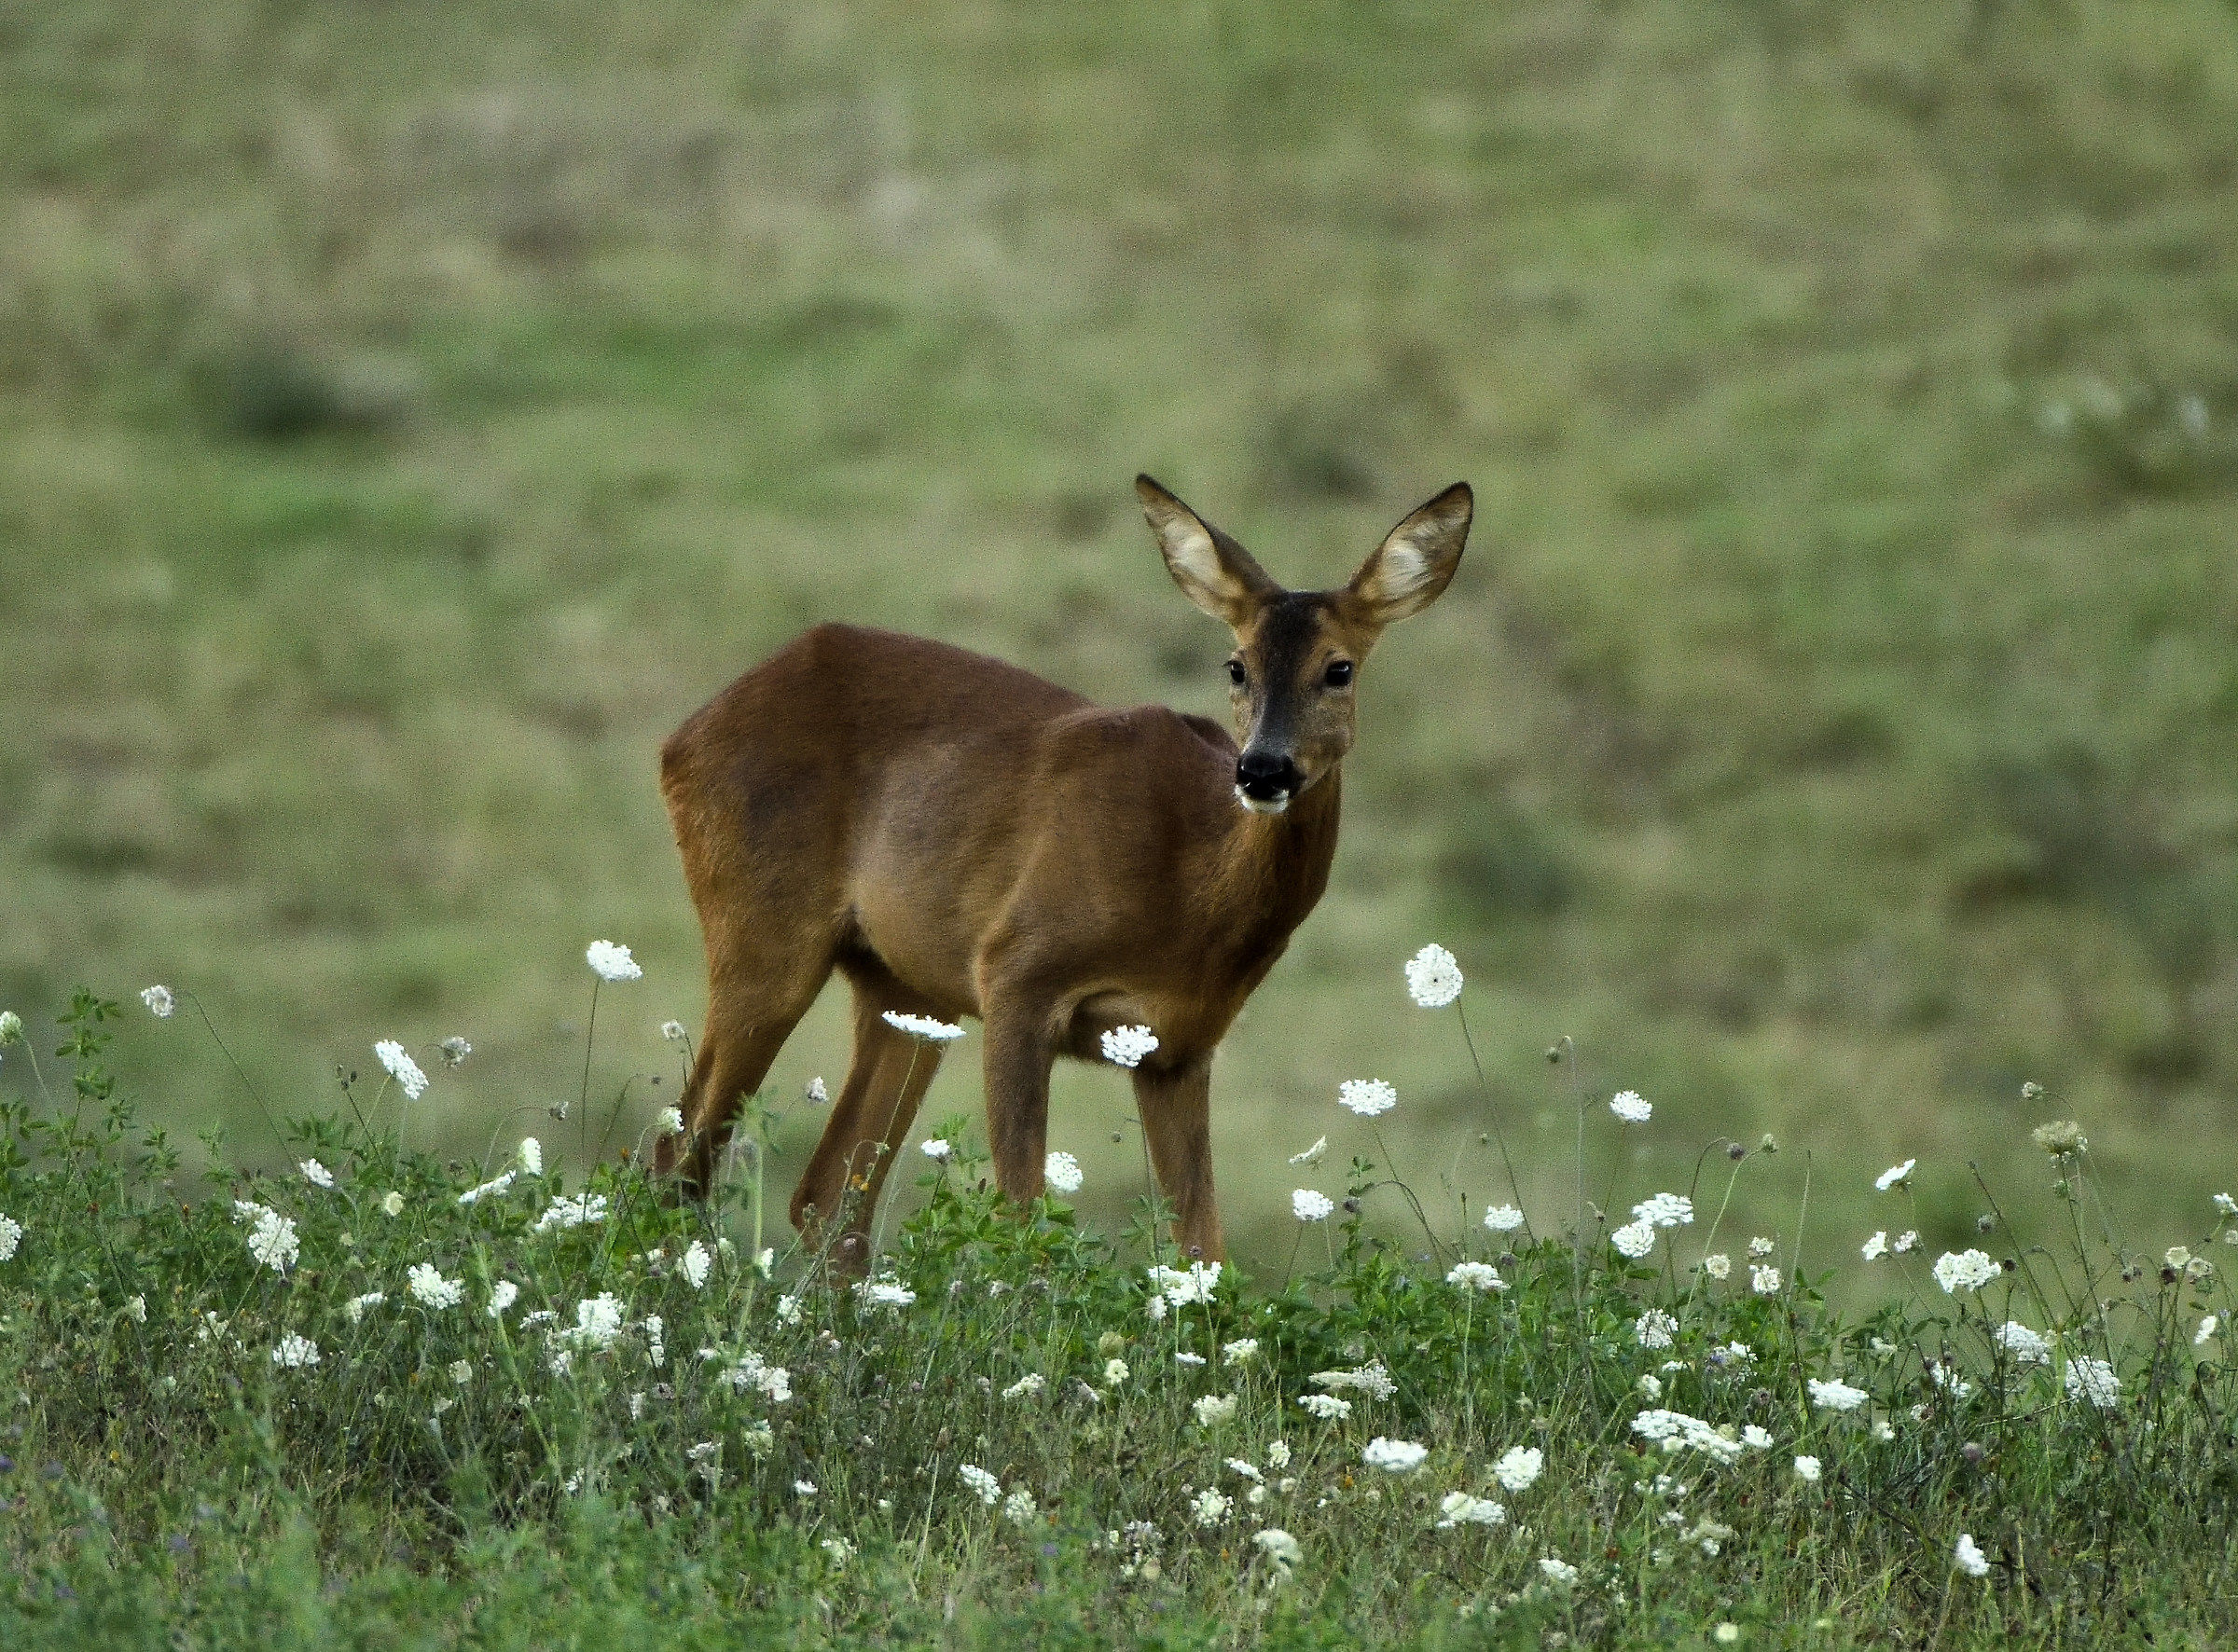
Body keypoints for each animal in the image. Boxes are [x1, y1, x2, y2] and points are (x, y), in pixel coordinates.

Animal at [653, 475, 1471, 1270]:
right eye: (1236, 665)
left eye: (1339, 669)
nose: (1263, 769)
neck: (1192, 890)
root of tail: (682, 737)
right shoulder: (1018, 974)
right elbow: (1024, 1226)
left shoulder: (1179, 1049)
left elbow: (1205, 1255)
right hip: (765, 927)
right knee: (678, 1157)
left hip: (907, 990)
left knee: (826, 1200)